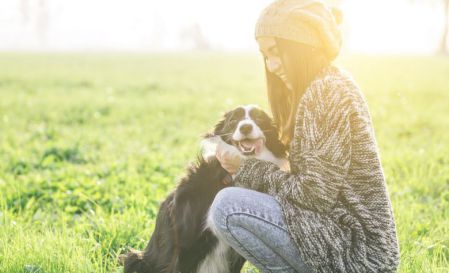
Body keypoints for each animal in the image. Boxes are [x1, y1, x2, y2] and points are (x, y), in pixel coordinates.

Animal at [121, 104, 288, 272]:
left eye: (259, 118)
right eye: (234, 120)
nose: (245, 127)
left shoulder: (235, 252)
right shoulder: (186, 241)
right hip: (135, 259)